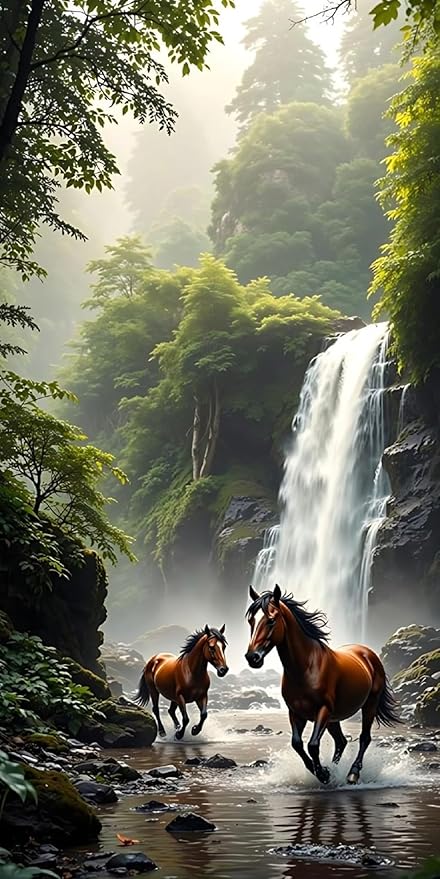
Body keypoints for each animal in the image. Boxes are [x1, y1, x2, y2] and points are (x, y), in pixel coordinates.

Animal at [245, 585, 400, 785]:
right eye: (251, 621)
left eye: (271, 620)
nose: (252, 657)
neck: (306, 668)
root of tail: (367, 653)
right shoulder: (295, 713)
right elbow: (297, 744)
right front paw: (322, 771)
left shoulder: (323, 710)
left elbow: (312, 744)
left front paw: (323, 774)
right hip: (334, 718)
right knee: (341, 741)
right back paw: (335, 770)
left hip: (369, 705)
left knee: (364, 738)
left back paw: (352, 774)